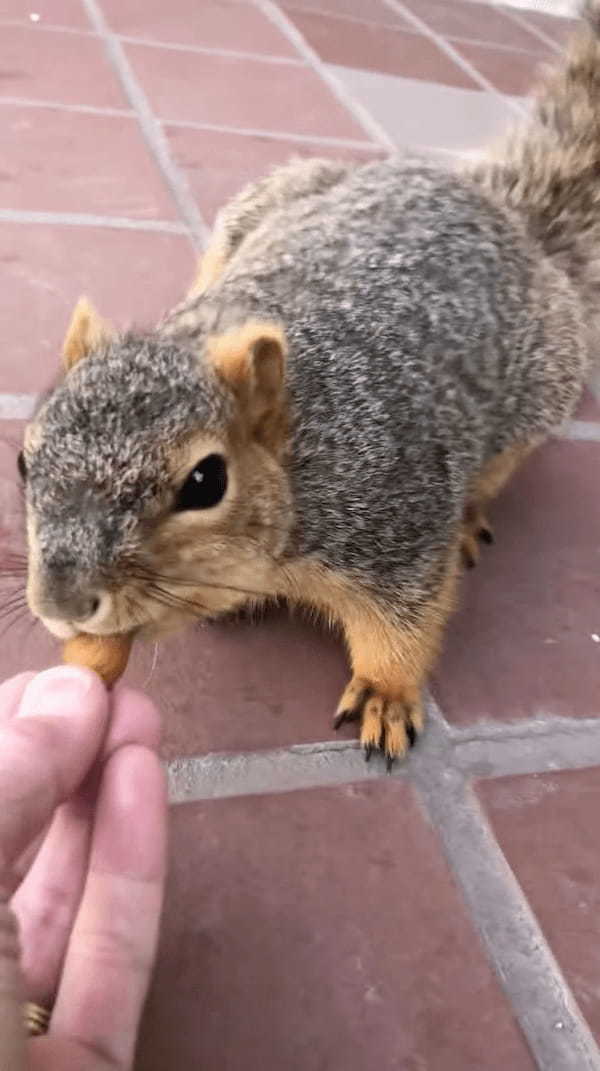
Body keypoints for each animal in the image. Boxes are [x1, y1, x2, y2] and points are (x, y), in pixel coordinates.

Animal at [21, 4, 595, 766]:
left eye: (206, 482)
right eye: (23, 460)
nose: (62, 603)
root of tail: (499, 207)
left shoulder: (397, 522)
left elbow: (404, 623)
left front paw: (387, 692)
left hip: (546, 382)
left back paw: (474, 512)